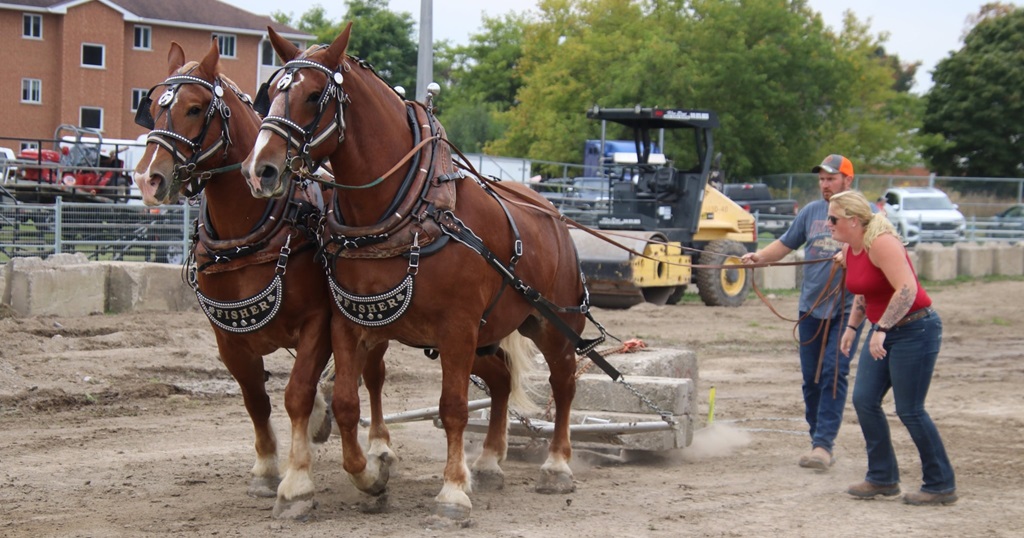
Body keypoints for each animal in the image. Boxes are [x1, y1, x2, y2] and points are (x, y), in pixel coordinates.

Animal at [131, 40, 342, 519]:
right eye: (154, 107)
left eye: (194, 108)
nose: (148, 179)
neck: (251, 230)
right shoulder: (228, 338)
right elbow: (255, 398)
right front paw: (265, 469)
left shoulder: (318, 323)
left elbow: (297, 393)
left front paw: (296, 485)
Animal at [242, 24, 594, 521]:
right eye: (271, 93)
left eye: (313, 96)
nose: (261, 171)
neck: (409, 209)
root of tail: (552, 212)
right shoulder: (349, 324)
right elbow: (347, 402)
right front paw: (372, 477)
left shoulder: (458, 328)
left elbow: (453, 408)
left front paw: (452, 492)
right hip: (492, 331)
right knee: (503, 380)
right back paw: (489, 463)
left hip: (552, 322)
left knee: (562, 383)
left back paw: (557, 466)